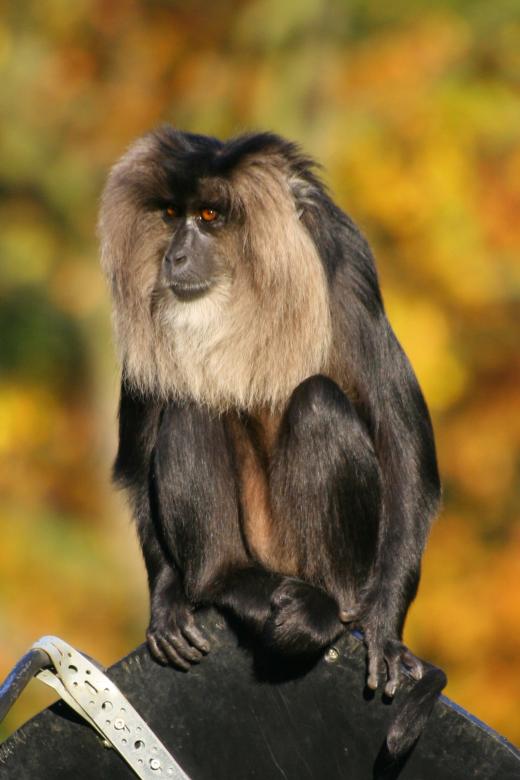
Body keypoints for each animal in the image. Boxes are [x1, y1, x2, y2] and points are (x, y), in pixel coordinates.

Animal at [98, 128, 446, 761]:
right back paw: (227, 585)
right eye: (172, 215)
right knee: (189, 404)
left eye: (210, 216)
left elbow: (404, 449)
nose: (174, 257)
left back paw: (332, 609)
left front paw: (385, 628)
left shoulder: (346, 269)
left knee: (318, 402)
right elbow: (136, 460)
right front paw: (168, 598)